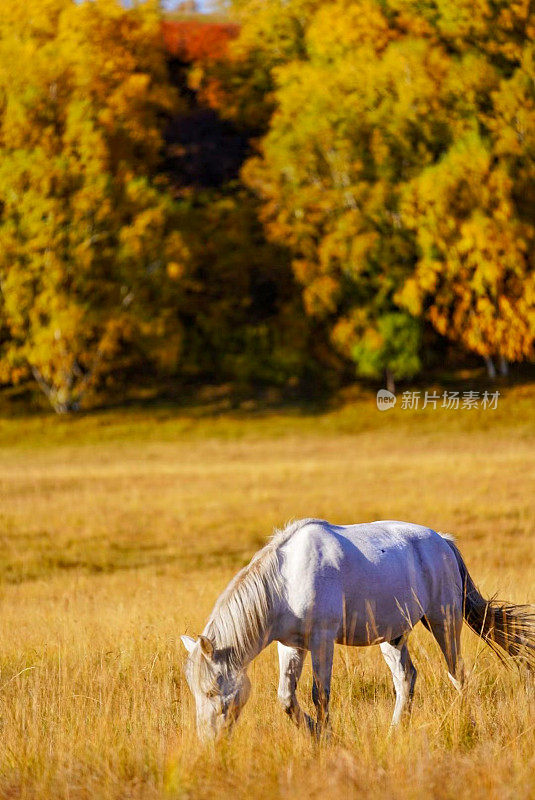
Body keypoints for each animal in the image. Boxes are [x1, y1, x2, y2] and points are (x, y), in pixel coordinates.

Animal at [181, 520, 535, 740]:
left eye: (212, 691)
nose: (209, 744)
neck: (285, 580)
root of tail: (443, 542)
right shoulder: (291, 645)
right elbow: (286, 697)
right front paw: (316, 734)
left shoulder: (322, 641)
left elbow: (319, 695)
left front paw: (325, 738)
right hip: (393, 637)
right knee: (406, 679)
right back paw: (395, 732)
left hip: (444, 622)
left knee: (457, 675)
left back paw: (467, 724)